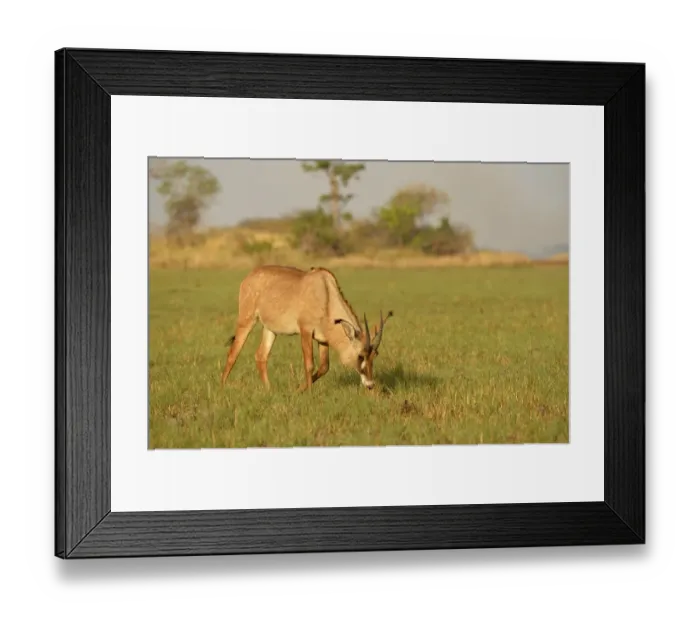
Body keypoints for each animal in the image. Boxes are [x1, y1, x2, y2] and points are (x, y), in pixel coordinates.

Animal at [220, 265, 393, 392]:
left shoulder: (323, 340)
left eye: (374, 355)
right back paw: (223, 386)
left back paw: (269, 389)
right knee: (233, 352)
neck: (325, 294)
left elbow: (324, 367)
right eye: (360, 356)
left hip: (270, 330)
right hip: (247, 320)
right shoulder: (305, 331)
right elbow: (309, 364)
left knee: (261, 355)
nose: (370, 385)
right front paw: (308, 393)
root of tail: (250, 276)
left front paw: (298, 390)